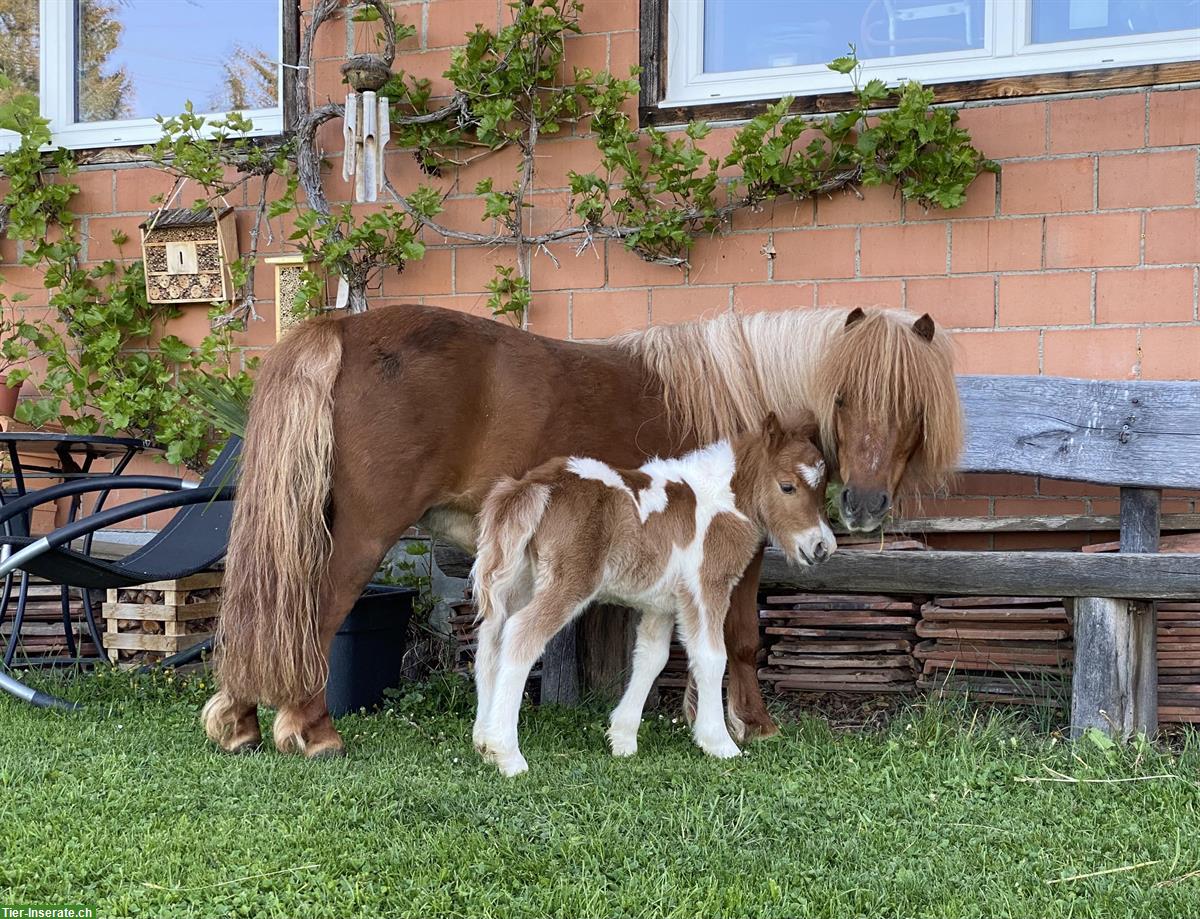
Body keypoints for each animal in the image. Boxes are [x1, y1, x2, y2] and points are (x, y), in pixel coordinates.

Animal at [470, 412, 835, 772]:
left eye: (823, 489)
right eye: (787, 486)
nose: (822, 547)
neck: (721, 500)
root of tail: (535, 485)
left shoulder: (663, 604)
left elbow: (651, 658)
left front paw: (622, 739)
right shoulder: (706, 587)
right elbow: (711, 657)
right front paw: (719, 743)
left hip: (518, 582)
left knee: (491, 639)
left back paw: (483, 743)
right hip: (567, 582)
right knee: (521, 634)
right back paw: (507, 753)